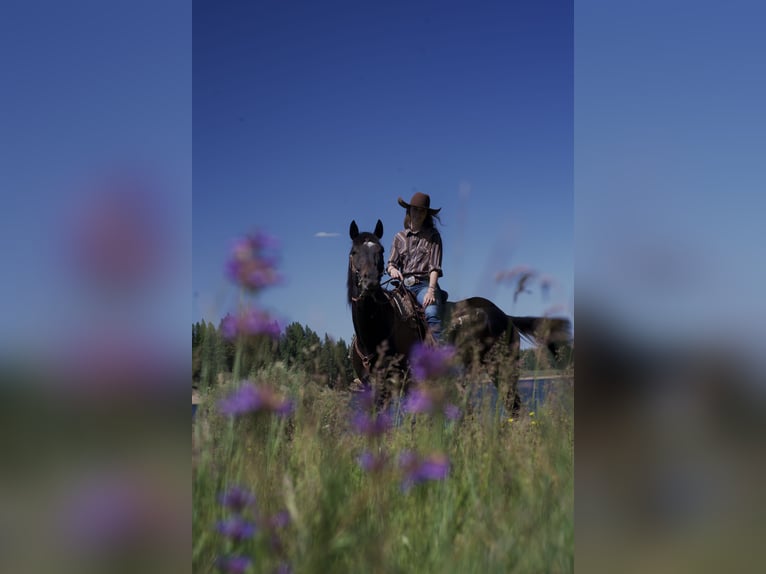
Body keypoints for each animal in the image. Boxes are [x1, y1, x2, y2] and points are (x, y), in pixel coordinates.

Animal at [347, 219, 571, 413]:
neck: (376, 334)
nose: (370, 283)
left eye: (380, 250)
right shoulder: (376, 390)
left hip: (503, 369)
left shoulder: (411, 384)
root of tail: (505, 316)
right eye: (354, 252)